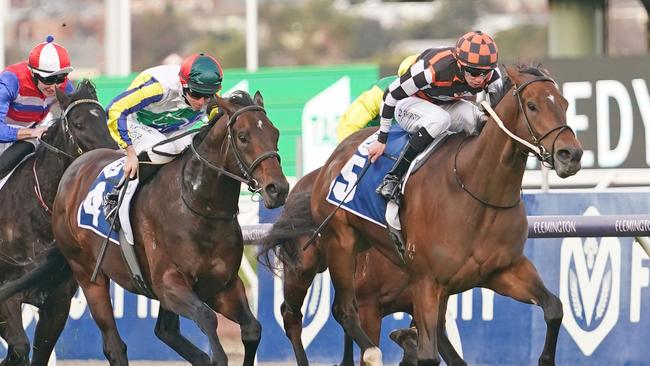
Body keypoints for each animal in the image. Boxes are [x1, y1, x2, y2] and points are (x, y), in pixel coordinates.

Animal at [0, 81, 116, 366]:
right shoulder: (6, 296)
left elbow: (37, 352)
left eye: (104, 117)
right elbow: (18, 347)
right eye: (77, 123)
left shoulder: (57, 303)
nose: (110, 156)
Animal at [38, 90, 284, 364]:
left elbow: (252, 329)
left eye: (275, 133)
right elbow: (208, 321)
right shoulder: (168, 284)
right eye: (243, 137)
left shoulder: (224, 284)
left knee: (165, 331)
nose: (278, 189)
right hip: (88, 275)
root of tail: (72, 172)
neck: (198, 206)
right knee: (115, 345)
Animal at [258, 66, 584, 366]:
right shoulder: (423, 284)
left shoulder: (502, 271)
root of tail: (329, 163)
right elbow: (427, 354)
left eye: (565, 103)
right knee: (314, 314)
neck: (476, 190)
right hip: (329, 251)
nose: (571, 154)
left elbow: (554, 307)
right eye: (532, 105)